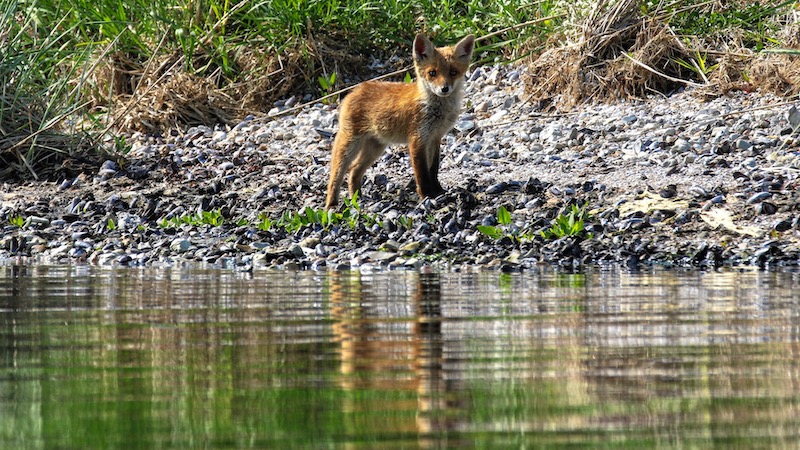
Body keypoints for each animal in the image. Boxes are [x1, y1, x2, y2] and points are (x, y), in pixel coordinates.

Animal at [325, 33, 475, 208]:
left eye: (453, 72)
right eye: (432, 73)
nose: (444, 89)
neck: (435, 109)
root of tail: (354, 90)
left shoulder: (435, 138)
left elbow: (433, 169)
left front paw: (438, 191)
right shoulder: (417, 140)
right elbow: (422, 174)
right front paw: (426, 195)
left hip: (376, 148)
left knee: (354, 171)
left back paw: (357, 198)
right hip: (350, 144)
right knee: (336, 175)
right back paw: (331, 205)